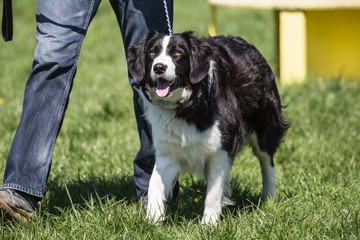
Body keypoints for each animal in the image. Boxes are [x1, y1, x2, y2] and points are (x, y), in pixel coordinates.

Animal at [126, 31, 290, 224]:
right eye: (152, 53)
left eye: (178, 53)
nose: (158, 67)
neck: (186, 105)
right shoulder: (167, 153)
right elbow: (154, 184)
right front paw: (152, 221)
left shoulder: (220, 148)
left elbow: (213, 191)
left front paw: (209, 224)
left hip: (264, 124)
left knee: (267, 162)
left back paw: (269, 199)